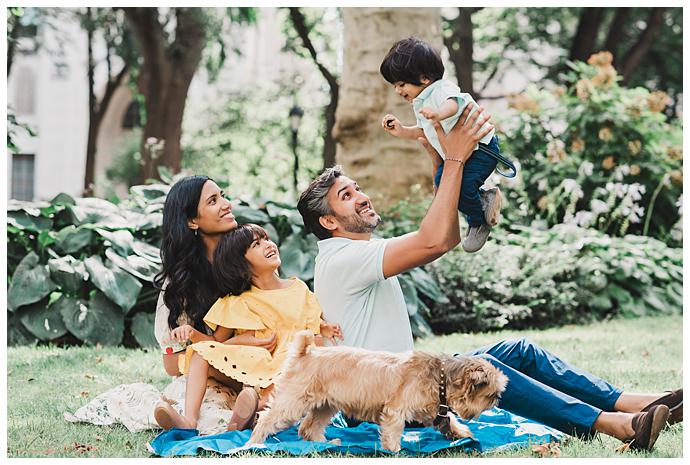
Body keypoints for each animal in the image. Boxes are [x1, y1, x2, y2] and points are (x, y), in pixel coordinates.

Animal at [247, 330, 506, 454]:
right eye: (491, 395)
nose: (496, 402)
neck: (440, 376)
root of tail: (306, 352)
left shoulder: (431, 410)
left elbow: (449, 421)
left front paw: (464, 434)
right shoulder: (396, 410)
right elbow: (393, 431)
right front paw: (395, 451)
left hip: (326, 405)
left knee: (308, 427)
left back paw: (327, 443)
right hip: (293, 402)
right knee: (267, 419)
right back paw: (253, 444)